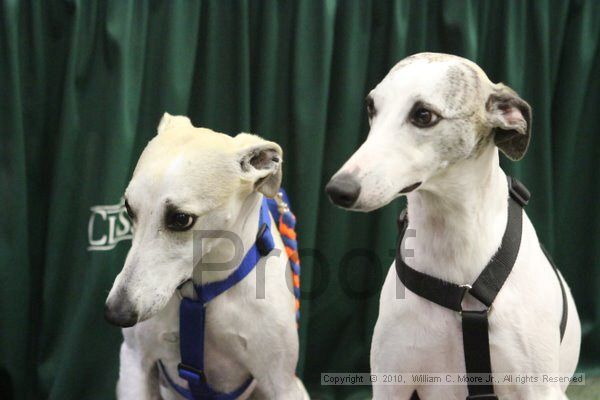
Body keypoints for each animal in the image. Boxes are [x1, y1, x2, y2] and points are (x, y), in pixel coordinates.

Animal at [105, 113, 308, 400]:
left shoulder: (281, 383)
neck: (201, 293)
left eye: (181, 219)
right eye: (129, 208)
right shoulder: (135, 362)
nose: (116, 312)